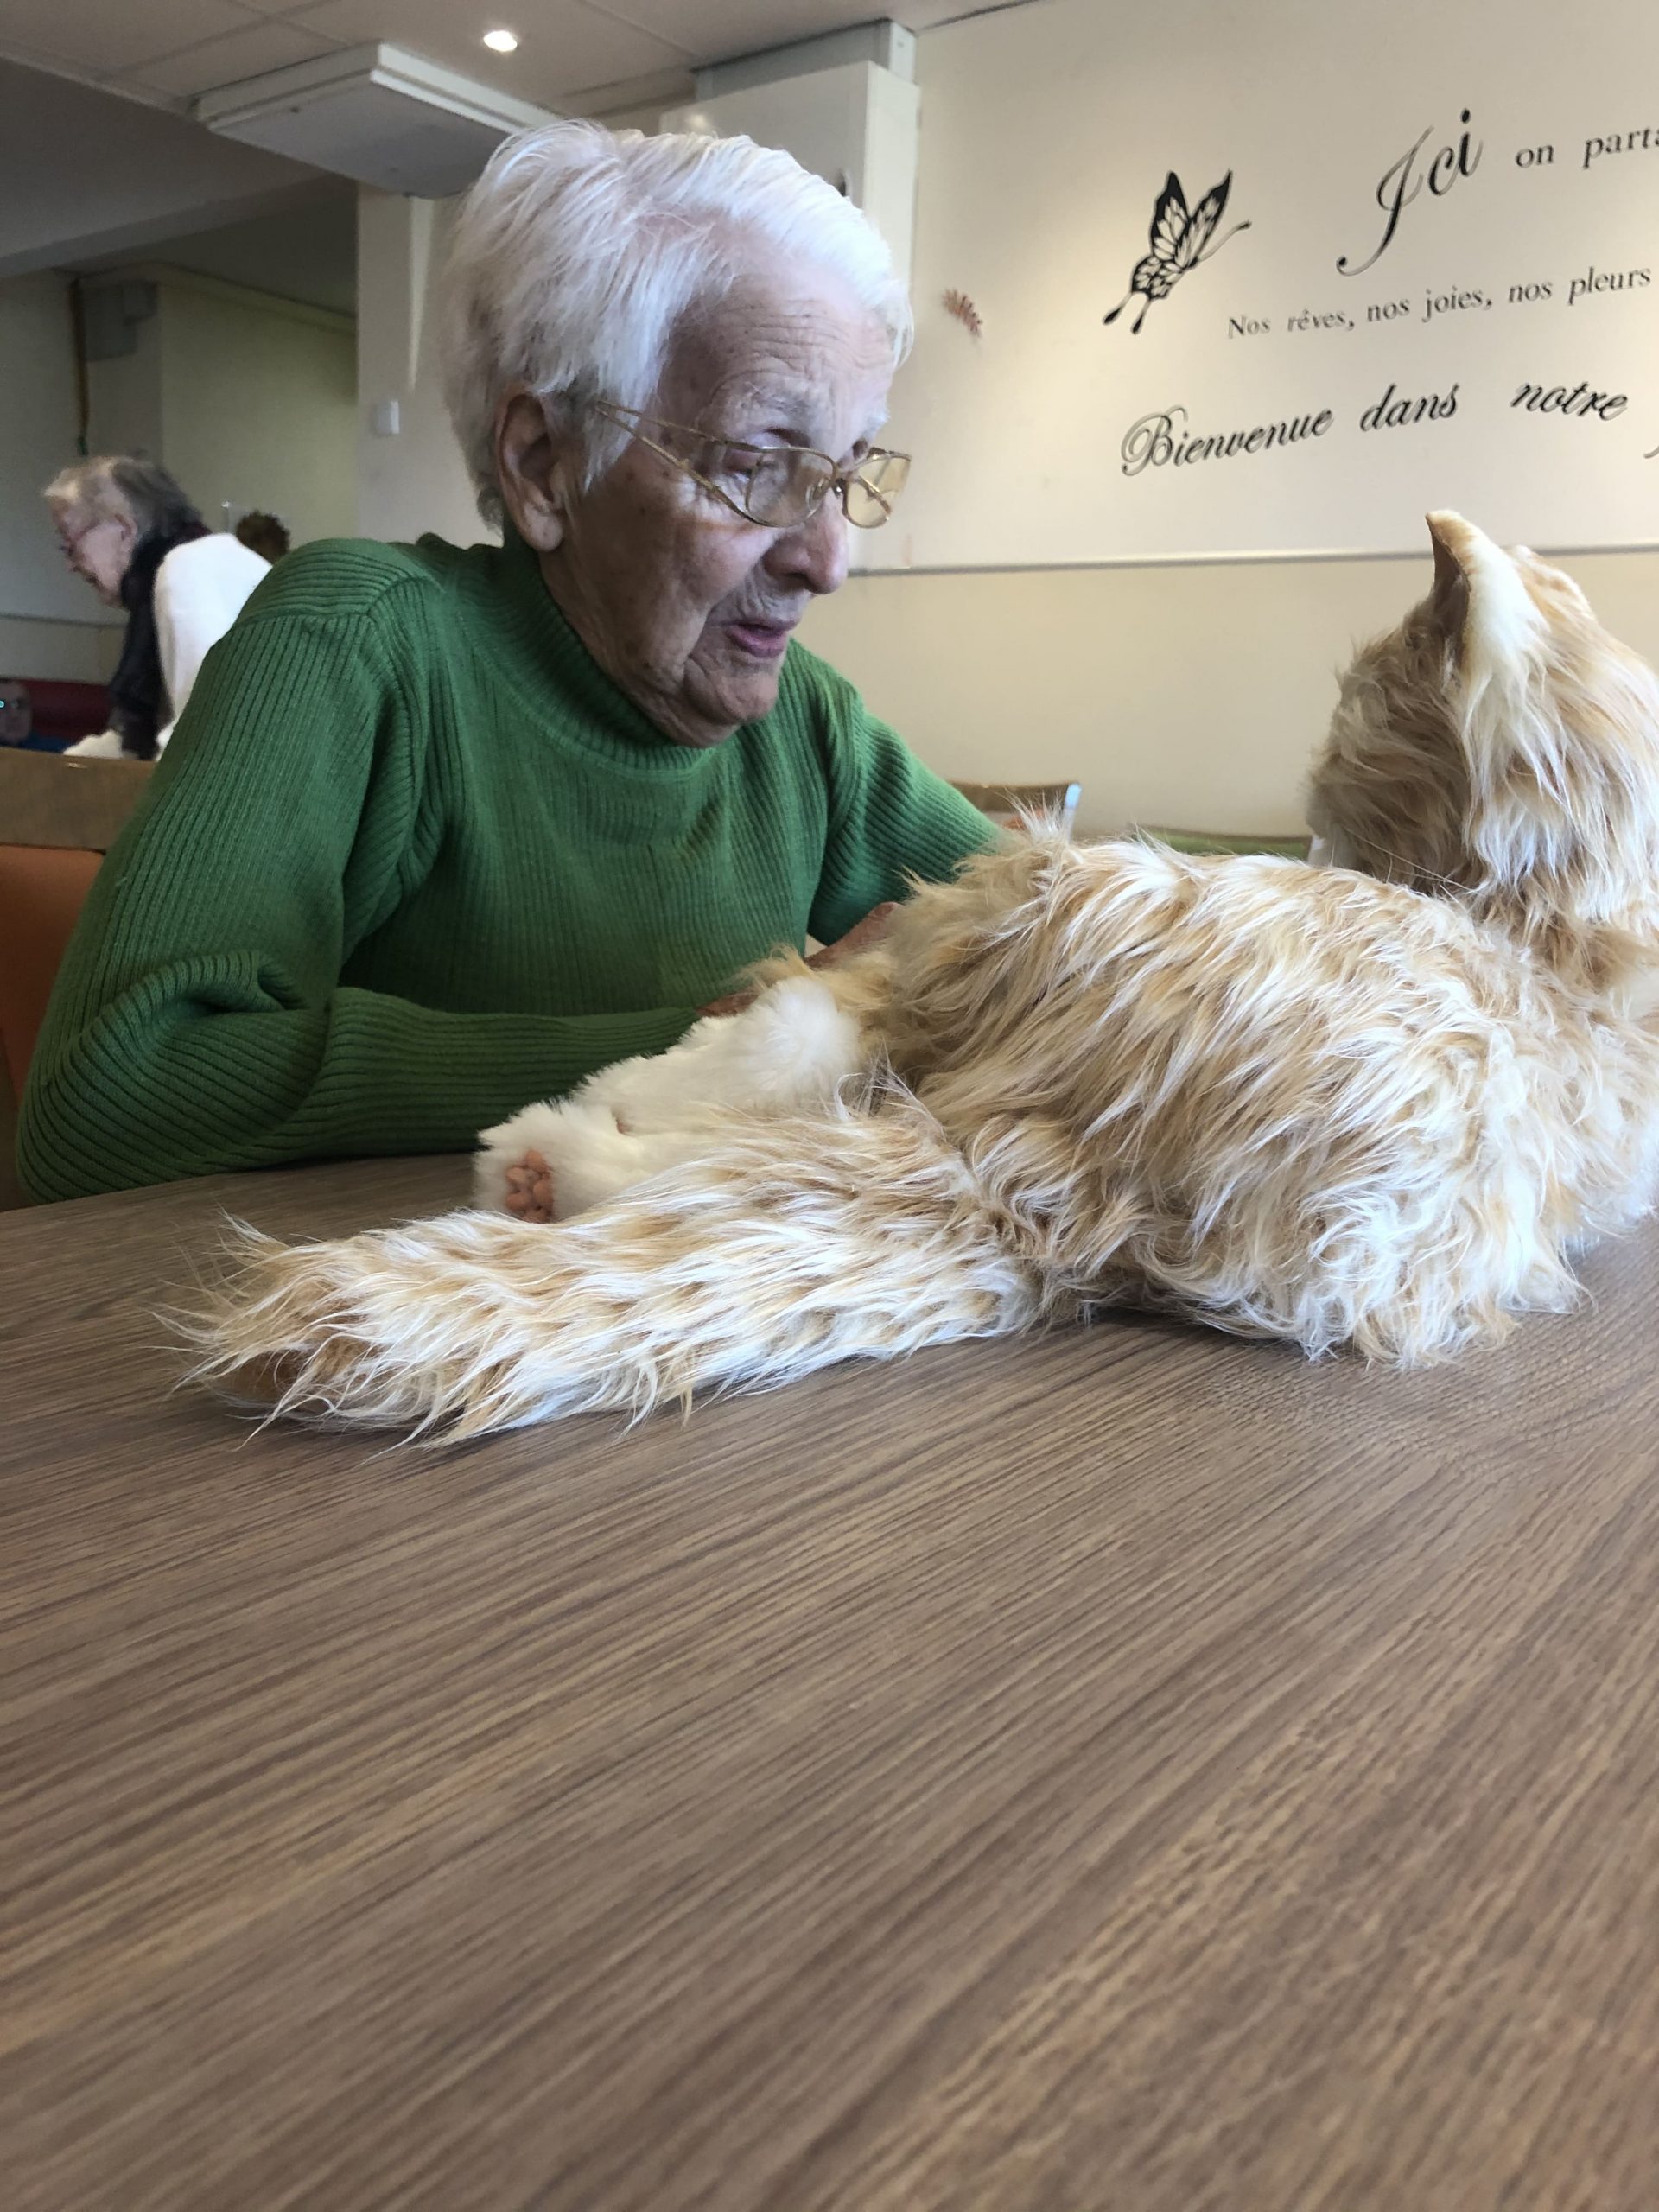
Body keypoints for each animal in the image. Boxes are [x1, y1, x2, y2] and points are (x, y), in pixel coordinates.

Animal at [184, 515, 1659, 1433]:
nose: (1317, 830)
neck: (1563, 942)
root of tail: (1080, 1191)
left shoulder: (946, 947)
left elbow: (764, 1041)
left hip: (1011, 942)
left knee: (756, 1089)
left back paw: (551, 1154)